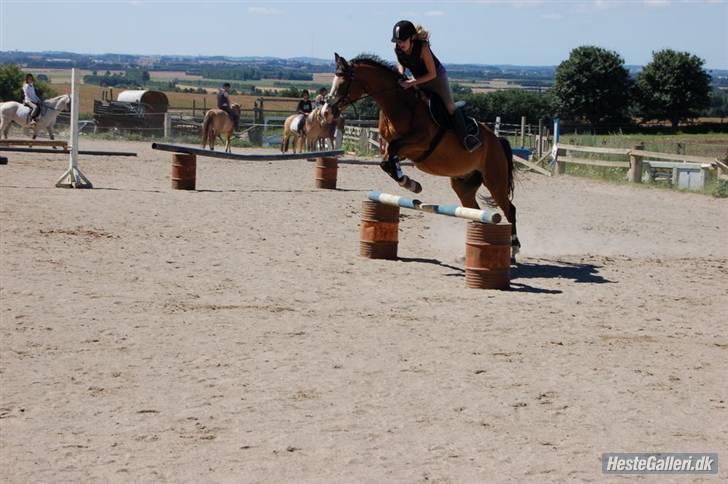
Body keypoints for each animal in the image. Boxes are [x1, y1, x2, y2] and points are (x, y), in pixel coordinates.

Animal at [322, 53, 520, 260]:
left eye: (343, 83)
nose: (326, 112)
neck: (400, 105)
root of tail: (497, 140)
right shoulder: (400, 151)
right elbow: (387, 162)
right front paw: (410, 184)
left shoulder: (420, 143)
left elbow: (391, 155)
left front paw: (410, 184)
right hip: (463, 184)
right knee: (474, 209)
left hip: (494, 180)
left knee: (509, 210)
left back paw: (514, 249)